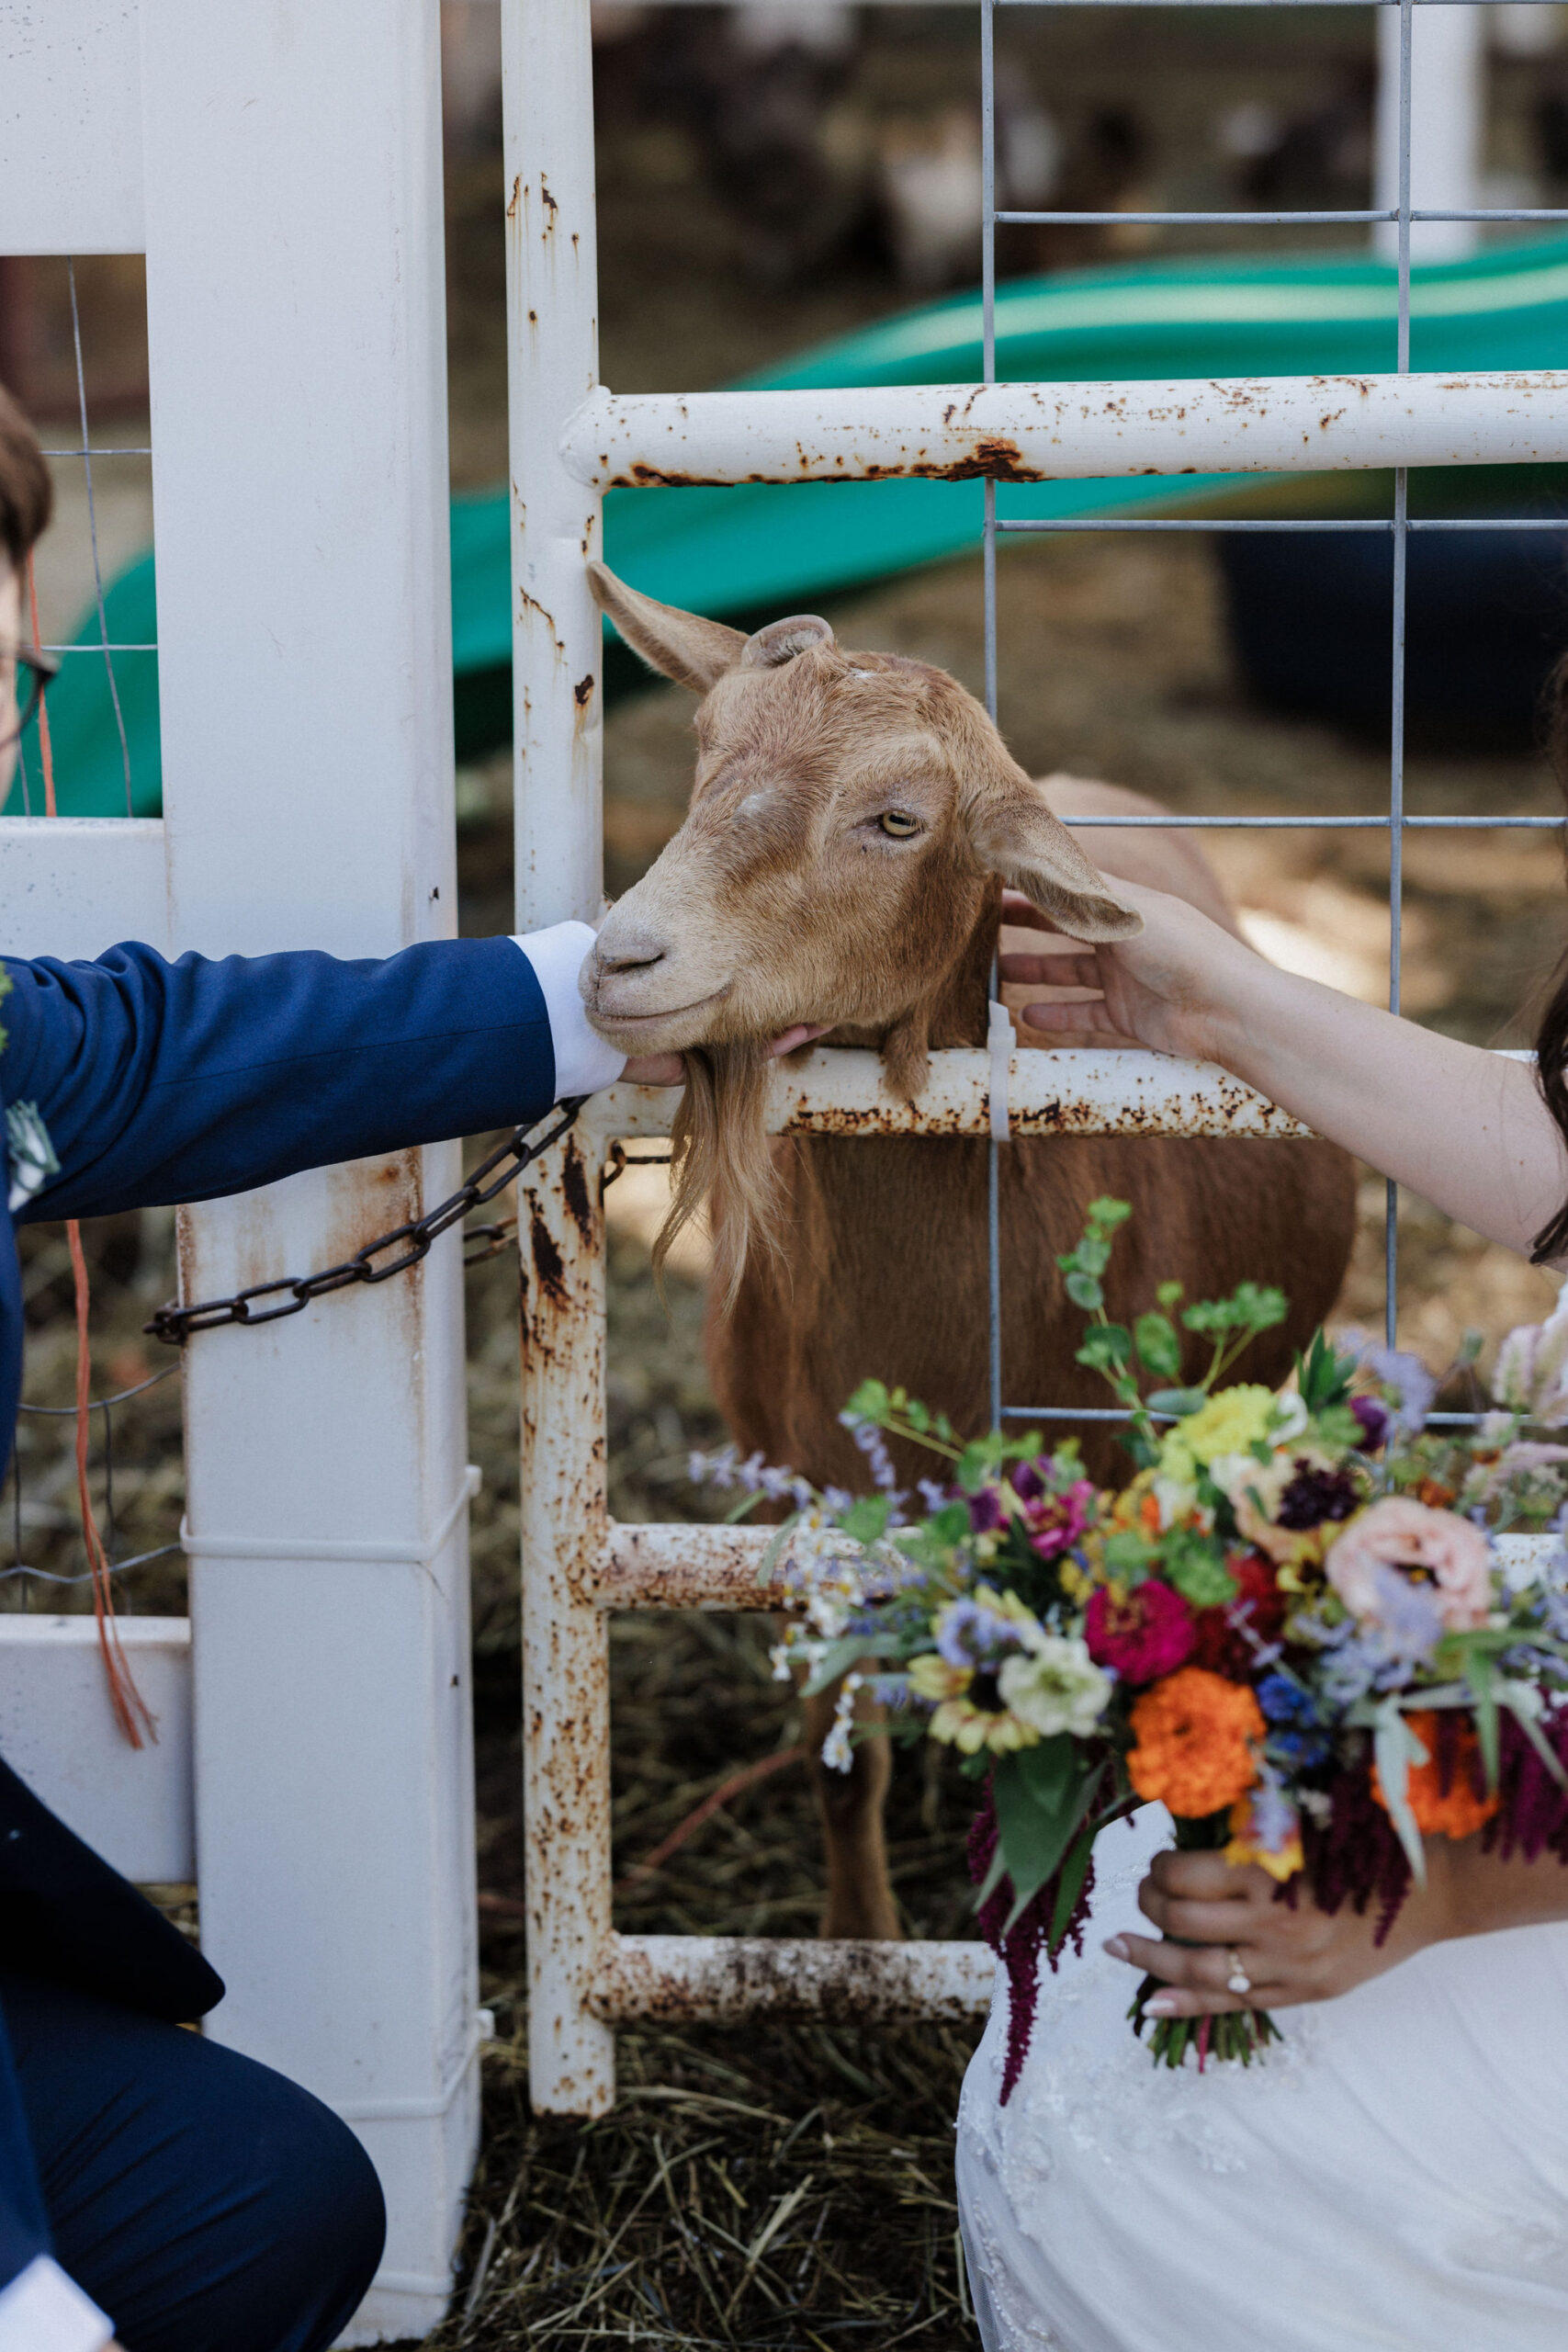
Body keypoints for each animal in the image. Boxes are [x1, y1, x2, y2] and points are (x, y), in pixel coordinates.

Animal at [582, 560, 1354, 1938]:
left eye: (897, 820)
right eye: (704, 747)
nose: (621, 958)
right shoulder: (805, 1499)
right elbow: (842, 1754)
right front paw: (859, 1942)